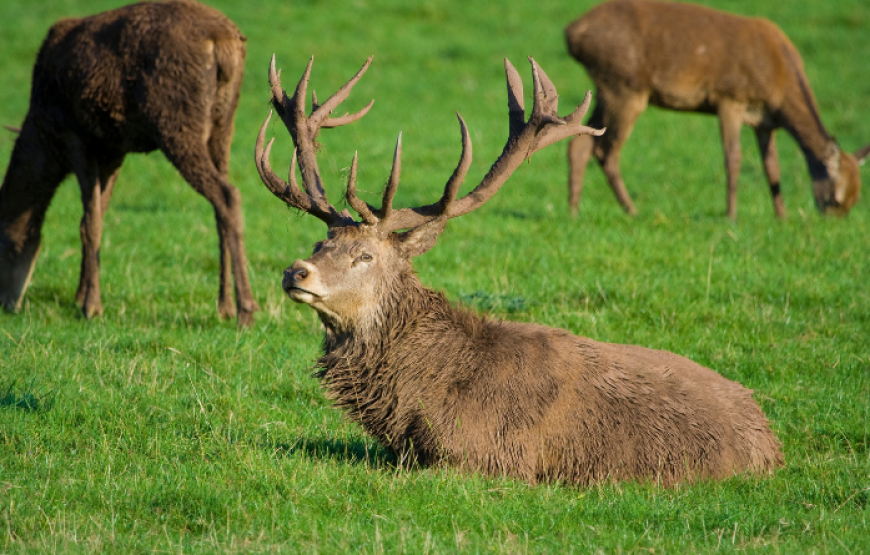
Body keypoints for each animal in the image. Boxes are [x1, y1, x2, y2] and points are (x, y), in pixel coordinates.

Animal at [0, 0, 258, 326]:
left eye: (2, 248)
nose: (7, 304)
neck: (44, 135)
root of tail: (224, 43)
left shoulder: (76, 135)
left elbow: (90, 221)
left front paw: (91, 307)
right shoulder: (113, 148)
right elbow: (92, 217)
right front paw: (80, 295)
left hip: (175, 119)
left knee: (227, 194)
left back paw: (246, 310)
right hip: (224, 124)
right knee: (219, 201)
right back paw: (225, 305)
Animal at [255, 54, 788, 484]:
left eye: (366, 255)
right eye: (321, 242)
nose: (297, 272)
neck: (419, 400)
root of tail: (771, 441)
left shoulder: (489, 459)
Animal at [564, 0, 870, 219]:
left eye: (856, 200)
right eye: (835, 199)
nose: (832, 221)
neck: (779, 84)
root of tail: (571, 33)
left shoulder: (764, 121)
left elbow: (772, 166)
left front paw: (781, 216)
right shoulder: (729, 98)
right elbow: (733, 157)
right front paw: (731, 214)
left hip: (607, 89)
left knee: (580, 143)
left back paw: (575, 211)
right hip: (625, 87)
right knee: (606, 150)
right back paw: (631, 210)